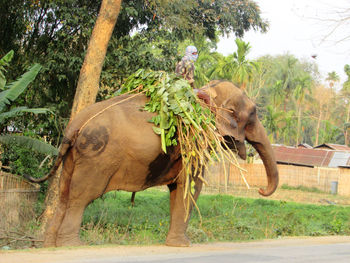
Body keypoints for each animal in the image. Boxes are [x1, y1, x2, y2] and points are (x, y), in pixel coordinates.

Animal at [26, 80, 278, 248]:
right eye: (253, 115)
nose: (259, 189)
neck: (206, 93)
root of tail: (74, 125)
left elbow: (179, 190)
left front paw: (176, 244)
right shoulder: (194, 141)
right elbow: (190, 187)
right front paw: (183, 245)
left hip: (72, 157)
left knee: (64, 195)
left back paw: (49, 245)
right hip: (95, 157)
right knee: (80, 197)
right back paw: (72, 245)